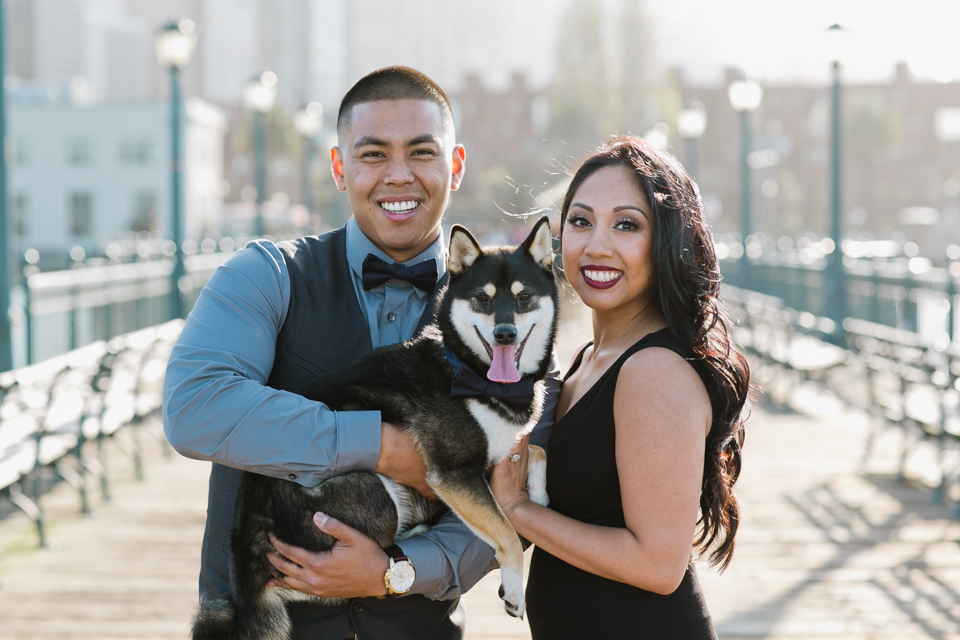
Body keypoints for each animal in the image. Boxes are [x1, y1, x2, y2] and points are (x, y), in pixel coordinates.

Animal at [193, 218, 556, 636]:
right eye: (483, 298)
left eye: (524, 297)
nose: (504, 334)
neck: (473, 371)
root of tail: (246, 553)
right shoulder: (456, 474)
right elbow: (507, 533)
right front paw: (513, 590)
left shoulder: (496, 455)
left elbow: (538, 449)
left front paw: (540, 494)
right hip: (374, 490)